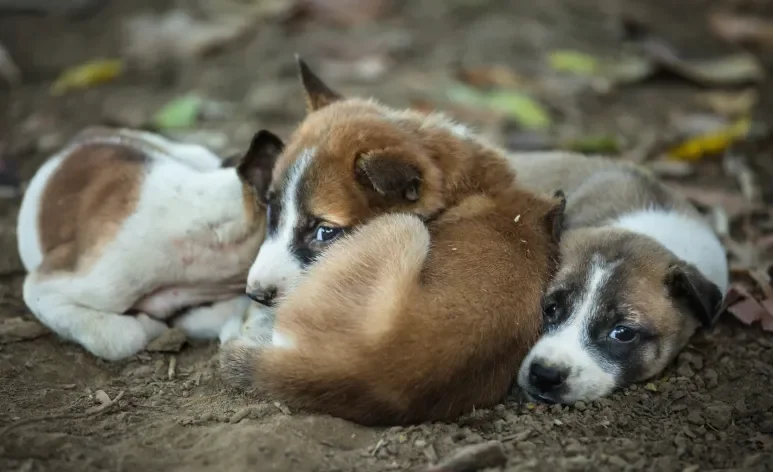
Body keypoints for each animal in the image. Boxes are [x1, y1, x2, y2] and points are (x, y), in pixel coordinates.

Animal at [220, 58, 564, 424]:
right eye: (273, 207)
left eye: (325, 232)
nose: (256, 294)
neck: (466, 182)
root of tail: (356, 372)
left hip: (402, 226)